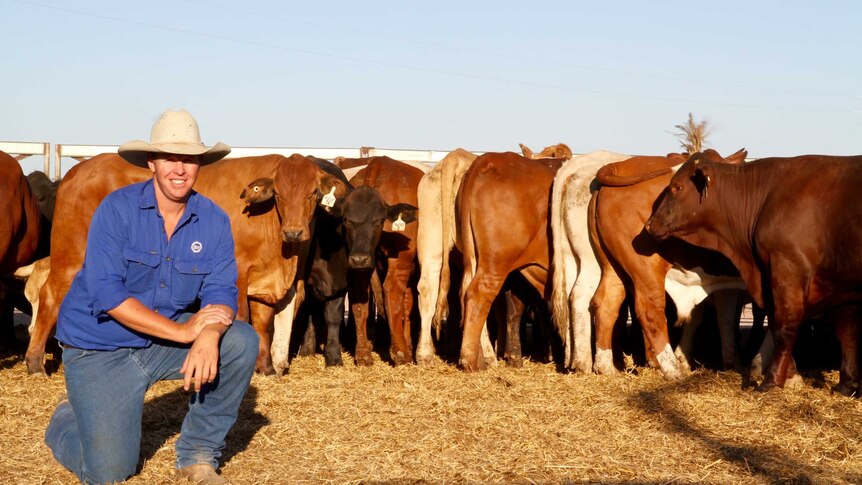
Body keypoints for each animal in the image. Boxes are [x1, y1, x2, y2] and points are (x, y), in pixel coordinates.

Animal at [26, 152, 352, 374]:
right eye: (280, 195)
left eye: (313, 193)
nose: (294, 231)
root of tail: (78, 170)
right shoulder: (236, 274)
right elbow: (244, 318)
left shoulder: (268, 280)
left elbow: (264, 323)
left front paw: (267, 368)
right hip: (71, 255)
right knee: (51, 297)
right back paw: (35, 362)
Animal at [648, 151, 862, 394]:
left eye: (677, 187)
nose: (650, 223)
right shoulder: (841, 284)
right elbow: (846, 332)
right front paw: (846, 385)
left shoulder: (786, 270)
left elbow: (784, 326)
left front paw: (772, 380)